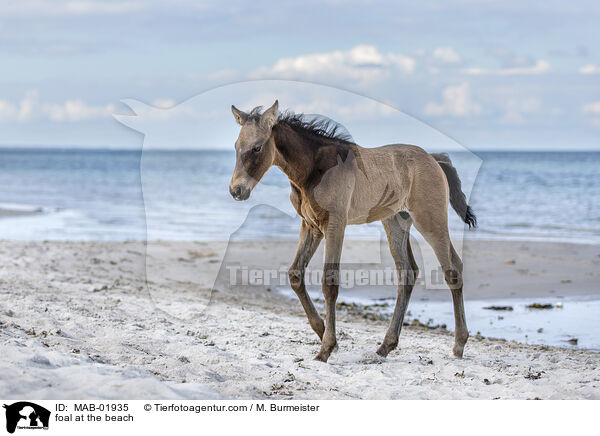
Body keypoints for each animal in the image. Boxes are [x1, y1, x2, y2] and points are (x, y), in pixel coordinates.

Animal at [227, 101, 476, 362]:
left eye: (257, 147)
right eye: (236, 146)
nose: (236, 190)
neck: (313, 169)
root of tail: (434, 159)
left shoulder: (335, 224)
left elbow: (329, 282)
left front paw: (326, 348)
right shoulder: (311, 225)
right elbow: (296, 274)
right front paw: (322, 331)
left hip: (430, 220)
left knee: (452, 269)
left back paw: (458, 344)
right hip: (396, 223)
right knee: (408, 273)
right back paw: (386, 345)